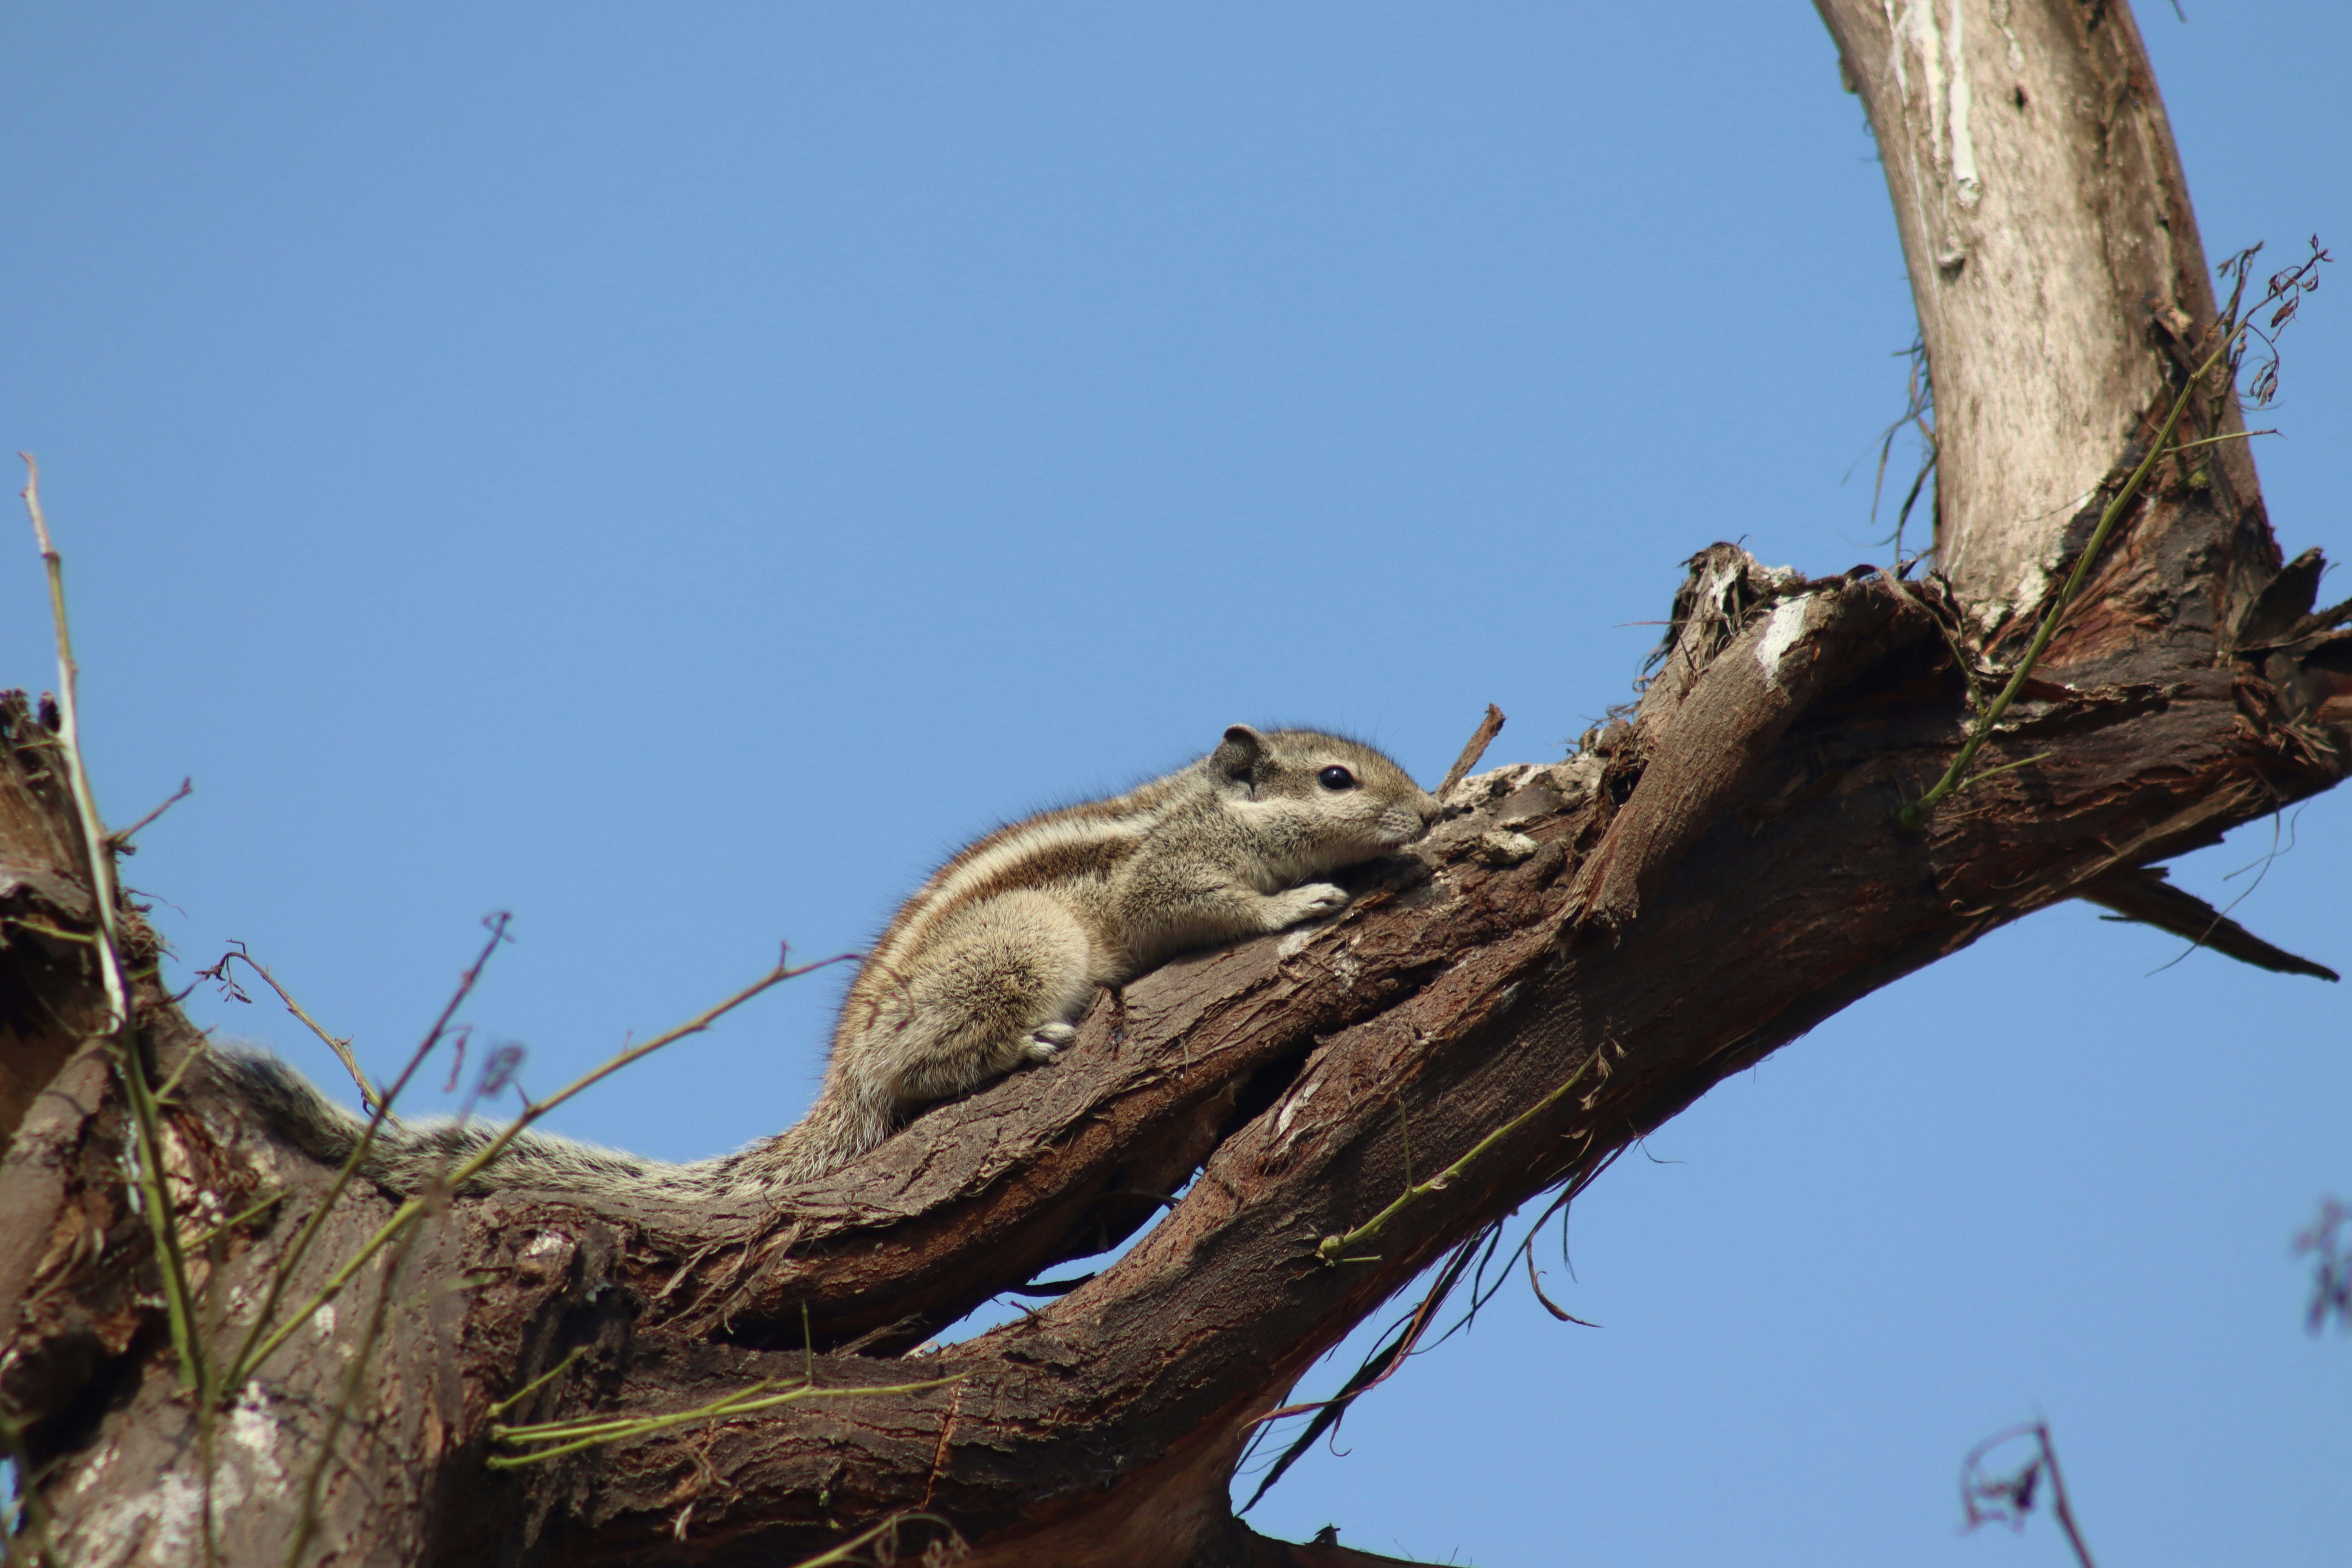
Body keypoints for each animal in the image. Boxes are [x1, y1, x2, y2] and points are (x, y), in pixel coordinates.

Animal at [220, 724, 1439, 1201]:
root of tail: (837, 1085)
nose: (1427, 815)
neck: (1207, 807)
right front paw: (1300, 901)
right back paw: (1019, 1047)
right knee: (913, 1073)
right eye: (1337, 779)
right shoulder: (1170, 880)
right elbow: (1218, 905)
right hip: (1024, 948)